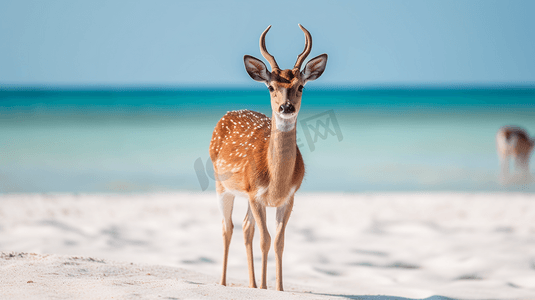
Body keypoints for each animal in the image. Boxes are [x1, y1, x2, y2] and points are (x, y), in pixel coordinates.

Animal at [208, 24, 326, 292]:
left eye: (301, 86)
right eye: (271, 87)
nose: (286, 107)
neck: (276, 182)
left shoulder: (288, 197)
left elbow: (279, 242)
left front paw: (279, 288)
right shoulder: (256, 194)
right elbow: (265, 239)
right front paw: (264, 288)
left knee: (245, 228)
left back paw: (251, 284)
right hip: (222, 185)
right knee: (227, 228)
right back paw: (223, 283)